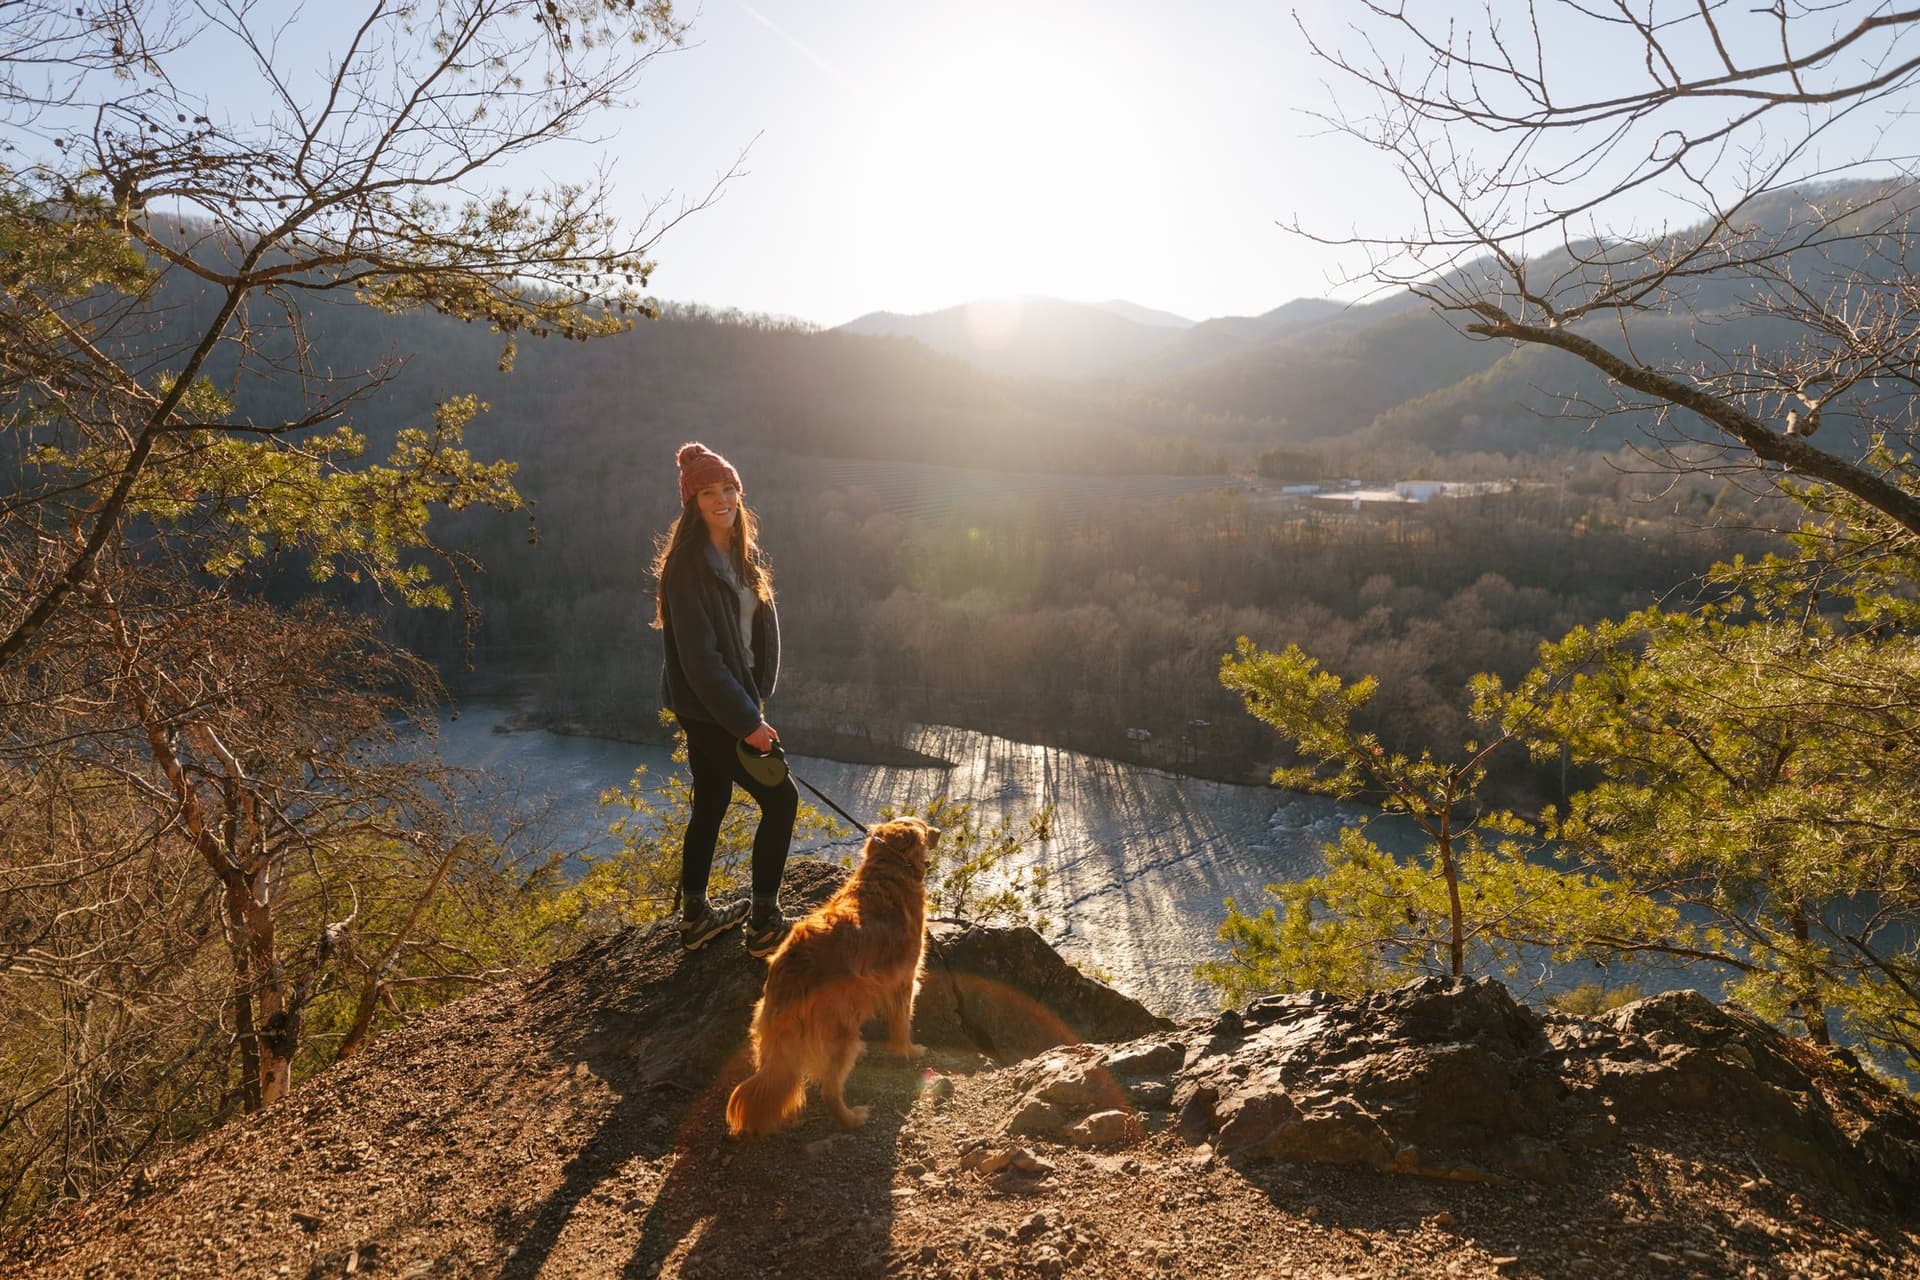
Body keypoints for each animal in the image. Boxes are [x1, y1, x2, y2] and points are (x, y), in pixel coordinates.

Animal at [721, 817, 940, 1136]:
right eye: (924, 826)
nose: (938, 832)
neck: (888, 870)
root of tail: (795, 964)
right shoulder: (903, 980)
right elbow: (902, 1022)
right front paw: (908, 1050)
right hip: (839, 1026)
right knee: (829, 1088)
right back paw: (851, 1118)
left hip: (771, 1021)